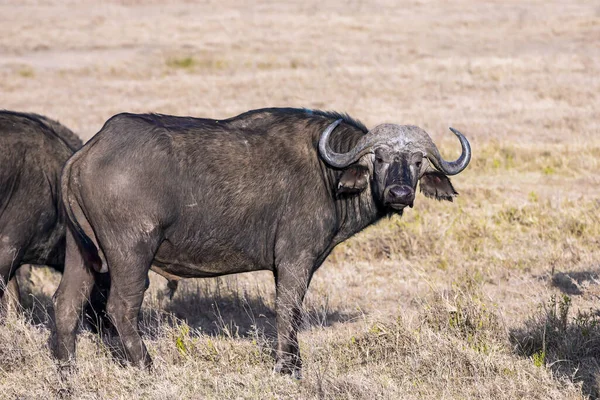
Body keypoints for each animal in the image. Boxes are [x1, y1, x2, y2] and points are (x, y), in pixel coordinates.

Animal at [54, 106, 472, 376]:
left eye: (417, 162)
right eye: (380, 158)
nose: (400, 192)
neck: (327, 173)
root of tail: (87, 152)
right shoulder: (294, 261)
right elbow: (289, 309)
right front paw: (289, 365)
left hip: (81, 252)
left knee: (66, 303)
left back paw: (67, 370)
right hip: (131, 254)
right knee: (121, 307)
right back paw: (147, 367)